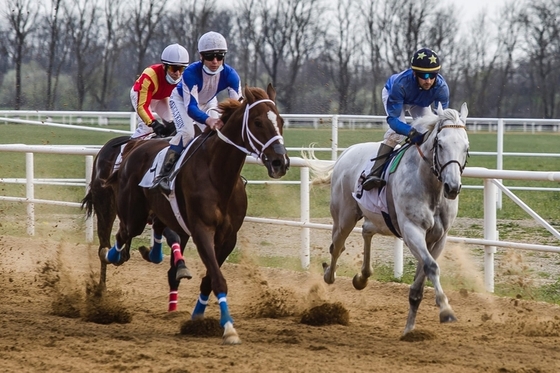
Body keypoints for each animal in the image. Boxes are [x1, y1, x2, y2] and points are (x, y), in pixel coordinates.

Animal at [101, 85, 290, 342]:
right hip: (135, 215)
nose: (281, 162)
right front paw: (229, 328)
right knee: (123, 233)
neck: (218, 175)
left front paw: (199, 316)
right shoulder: (202, 230)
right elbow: (218, 280)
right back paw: (110, 255)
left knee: (150, 232)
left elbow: (209, 280)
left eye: (280, 120)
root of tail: (135, 149)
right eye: (258, 122)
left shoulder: (228, 238)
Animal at [308, 102, 470, 334]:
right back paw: (329, 274)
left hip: (378, 219)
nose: (453, 187)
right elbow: (431, 267)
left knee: (366, 230)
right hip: (344, 217)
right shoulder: (412, 230)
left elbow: (421, 281)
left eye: (466, 147)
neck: (431, 187)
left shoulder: (439, 238)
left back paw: (362, 277)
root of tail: (347, 152)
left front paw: (409, 330)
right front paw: (446, 310)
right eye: (440, 144)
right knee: (336, 246)